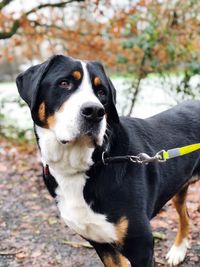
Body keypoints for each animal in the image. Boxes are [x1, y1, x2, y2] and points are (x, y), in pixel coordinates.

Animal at [16, 55, 199, 267]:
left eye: (101, 92)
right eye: (64, 83)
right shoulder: (100, 242)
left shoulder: (141, 247)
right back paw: (178, 251)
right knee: (185, 215)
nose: (94, 111)